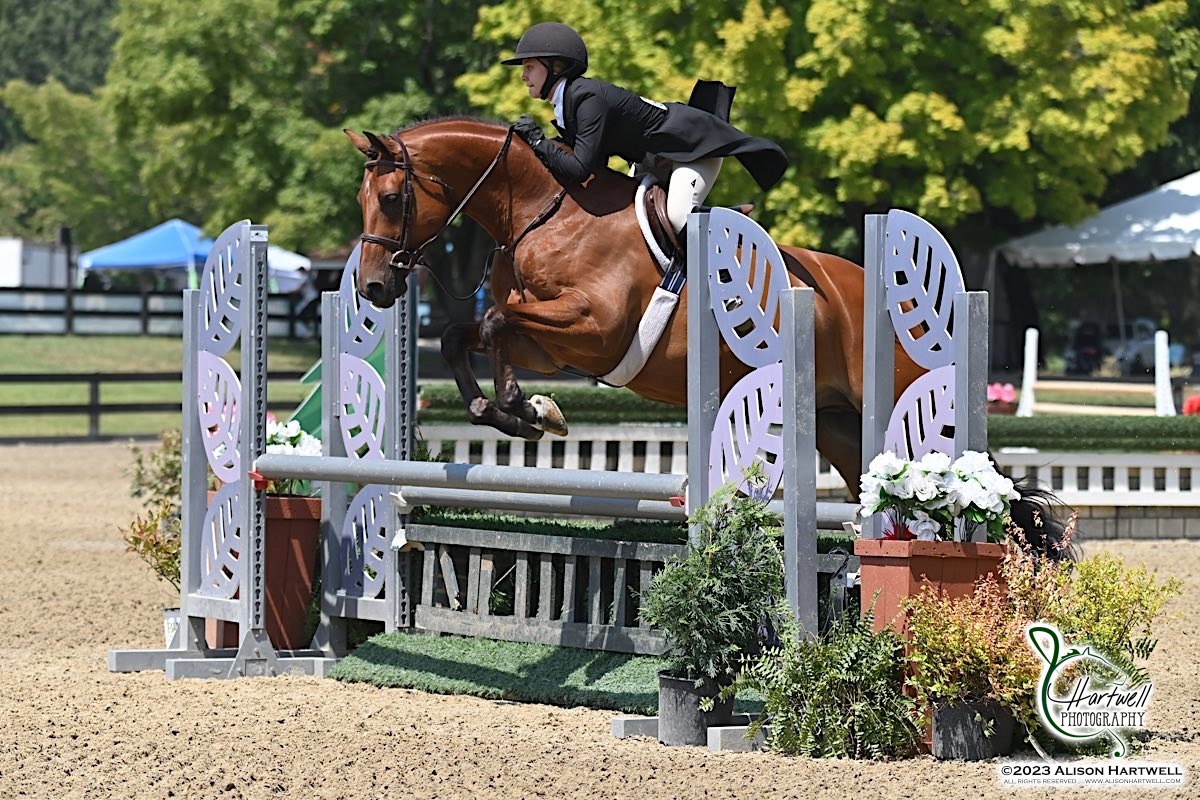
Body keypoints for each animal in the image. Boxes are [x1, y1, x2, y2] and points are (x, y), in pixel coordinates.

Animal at [343, 116, 921, 496]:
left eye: (391, 199)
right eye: (361, 200)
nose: (372, 288)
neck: (541, 212)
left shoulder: (595, 329)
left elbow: (494, 320)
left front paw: (526, 408)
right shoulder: (547, 348)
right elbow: (464, 334)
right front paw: (514, 414)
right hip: (837, 425)